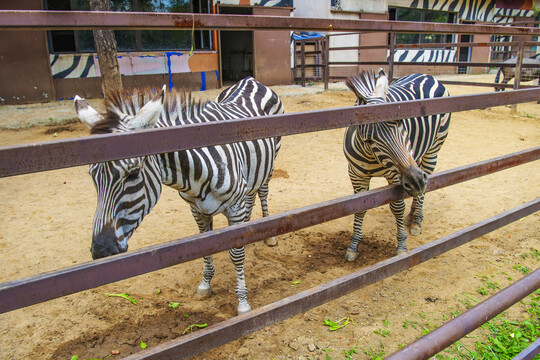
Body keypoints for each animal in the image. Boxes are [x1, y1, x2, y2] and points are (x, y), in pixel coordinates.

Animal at [74, 77, 284, 314]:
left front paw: (243, 303)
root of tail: (250, 80)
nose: (101, 251)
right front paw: (205, 284)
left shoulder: (234, 206)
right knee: (251, 196)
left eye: (133, 173)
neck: (196, 170)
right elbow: (206, 244)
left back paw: (269, 234)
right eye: (92, 176)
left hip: (270, 161)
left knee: (262, 193)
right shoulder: (196, 209)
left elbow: (236, 255)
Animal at [342, 69, 452, 262]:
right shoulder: (356, 174)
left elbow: (397, 207)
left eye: (400, 123)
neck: (370, 156)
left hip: (433, 149)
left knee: (424, 187)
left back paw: (416, 220)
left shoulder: (395, 176)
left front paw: (401, 246)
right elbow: (359, 208)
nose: (415, 181)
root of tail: (427, 75)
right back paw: (412, 213)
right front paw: (353, 246)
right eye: (369, 140)